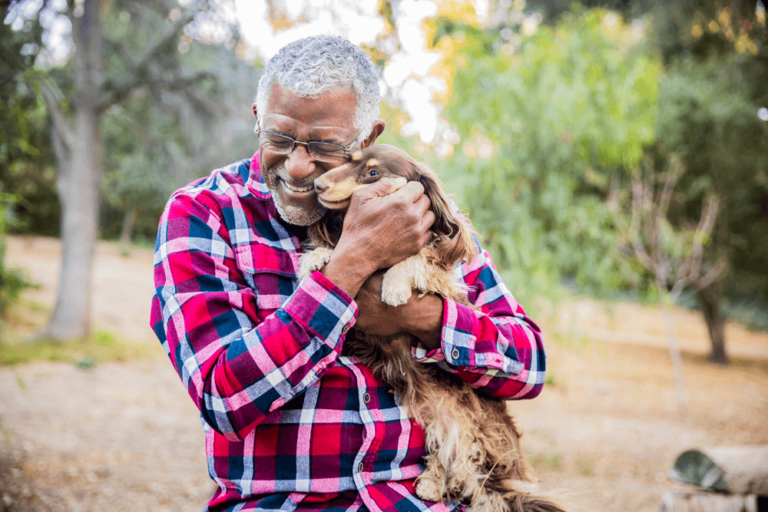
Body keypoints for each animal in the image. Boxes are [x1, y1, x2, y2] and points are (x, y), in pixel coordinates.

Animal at [296, 144, 568, 512]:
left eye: (372, 173)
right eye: (347, 161)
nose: (318, 185)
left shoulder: (442, 280)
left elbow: (417, 259)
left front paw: (394, 283)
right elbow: (339, 254)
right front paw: (318, 256)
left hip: (472, 427)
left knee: (469, 468)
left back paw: (436, 482)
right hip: (436, 417)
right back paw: (431, 484)